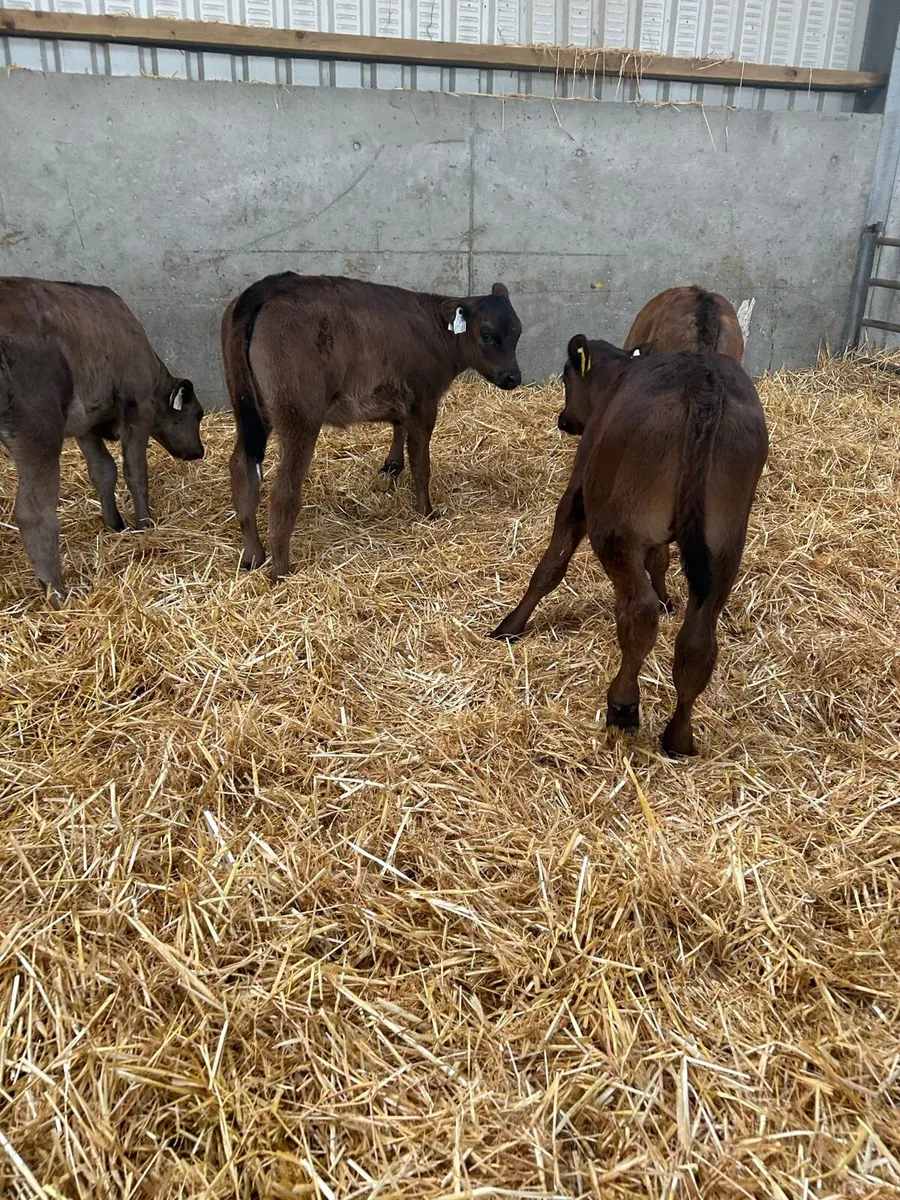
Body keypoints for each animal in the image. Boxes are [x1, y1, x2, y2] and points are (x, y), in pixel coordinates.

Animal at [0, 277, 205, 607]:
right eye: (197, 414)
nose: (199, 451)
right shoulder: (138, 413)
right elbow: (135, 472)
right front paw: (144, 523)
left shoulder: (86, 427)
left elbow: (103, 472)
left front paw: (115, 524)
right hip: (38, 429)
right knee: (33, 512)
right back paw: (58, 593)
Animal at [222, 273, 523, 582]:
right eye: (487, 335)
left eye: (517, 333)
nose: (513, 376)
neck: (436, 330)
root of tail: (267, 287)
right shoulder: (424, 400)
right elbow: (421, 464)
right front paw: (426, 512)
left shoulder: (400, 395)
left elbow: (399, 431)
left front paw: (391, 468)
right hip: (299, 414)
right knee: (283, 491)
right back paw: (280, 570)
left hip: (249, 408)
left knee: (242, 470)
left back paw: (253, 556)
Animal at [490, 337, 768, 756]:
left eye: (566, 376)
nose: (564, 420)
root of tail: (703, 381)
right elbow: (660, 560)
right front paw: (668, 598)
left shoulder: (577, 494)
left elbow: (550, 567)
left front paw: (510, 626)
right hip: (724, 546)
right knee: (698, 638)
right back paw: (679, 737)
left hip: (616, 528)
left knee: (640, 613)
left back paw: (623, 705)